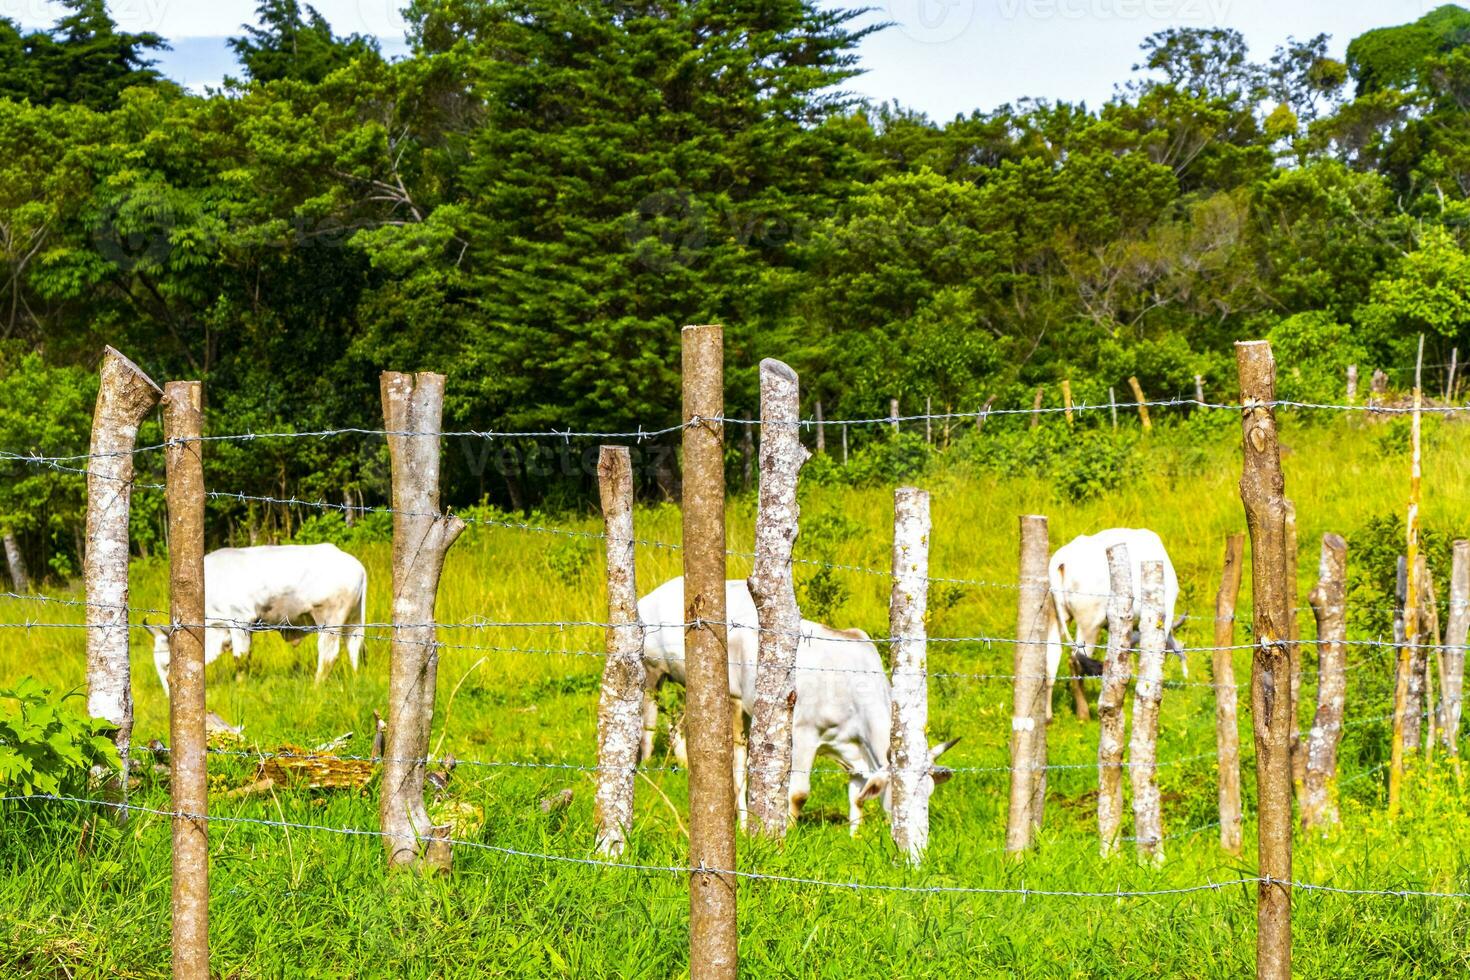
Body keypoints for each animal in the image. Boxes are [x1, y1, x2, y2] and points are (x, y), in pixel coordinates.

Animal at [144, 540, 367, 693]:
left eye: (166, 664)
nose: (168, 695)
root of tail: (357, 566)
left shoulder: (240, 621)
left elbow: (240, 659)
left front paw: (240, 689)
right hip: (354, 621)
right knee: (354, 648)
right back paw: (356, 680)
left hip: (329, 621)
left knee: (329, 655)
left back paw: (316, 686)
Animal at [637, 575, 958, 834]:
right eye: (902, 795)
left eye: (929, 794)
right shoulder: (804, 735)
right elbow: (798, 794)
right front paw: (787, 832)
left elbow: (856, 796)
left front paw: (855, 836)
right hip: (703, 691)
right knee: (732, 763)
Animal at [1040, 528, 1187, 719]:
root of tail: (1062, 560)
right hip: (1089, 625)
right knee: (1076, 659)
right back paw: (1083, 713)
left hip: (1057, 615)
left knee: (1051, 659)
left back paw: (1048, 716)